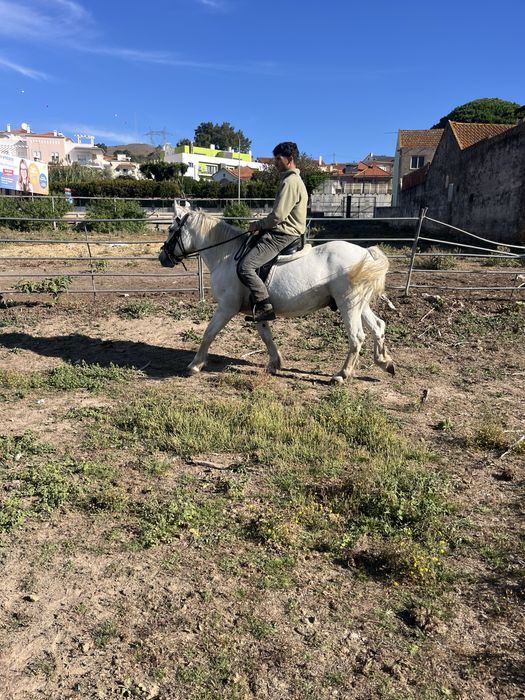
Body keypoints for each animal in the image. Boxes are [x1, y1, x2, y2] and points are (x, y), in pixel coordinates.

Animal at [159, 201, 395, 383]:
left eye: (171, 230)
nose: (162, 257)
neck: (226, 255)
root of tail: (366, 253)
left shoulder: (226, 308)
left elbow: (209, 333)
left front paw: (195, 364)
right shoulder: (258, 310)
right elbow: (266, 336)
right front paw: (275, 363)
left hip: (349, 305)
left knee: (357, 337)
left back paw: (342, 375)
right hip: (360, 305)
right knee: (378, 326)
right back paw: (384, 362)